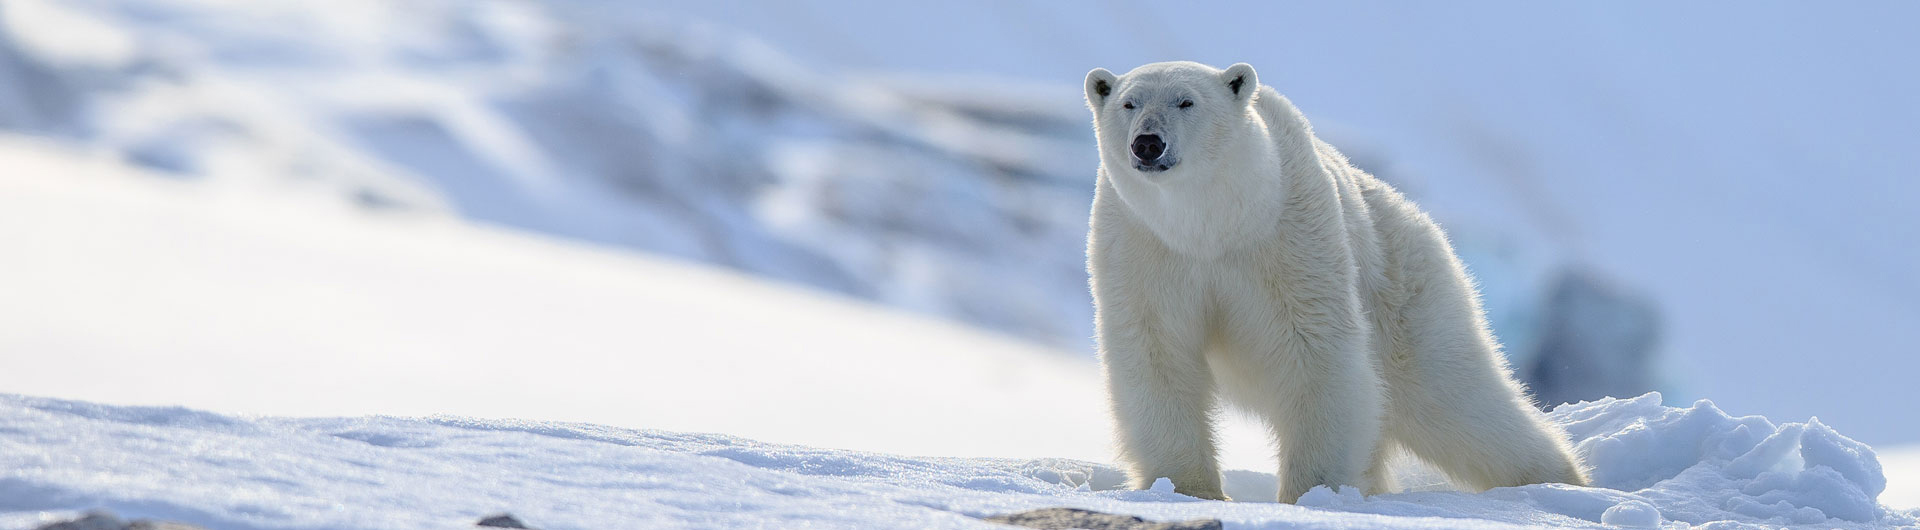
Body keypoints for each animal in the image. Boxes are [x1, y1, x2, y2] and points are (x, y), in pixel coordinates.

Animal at [1082, 60, 1589, 499]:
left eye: (1186, 101)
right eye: (1129, 103)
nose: (1148, 143)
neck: (1213, 226)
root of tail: (1422, 221)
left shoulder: (1291, 237)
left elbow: (1312, 349)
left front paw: (1313, 492)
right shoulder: (1143, 248)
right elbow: (1155, 353)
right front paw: (1188, 489)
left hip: (1404, 292)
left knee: (1452, 398)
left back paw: (1559, 480)